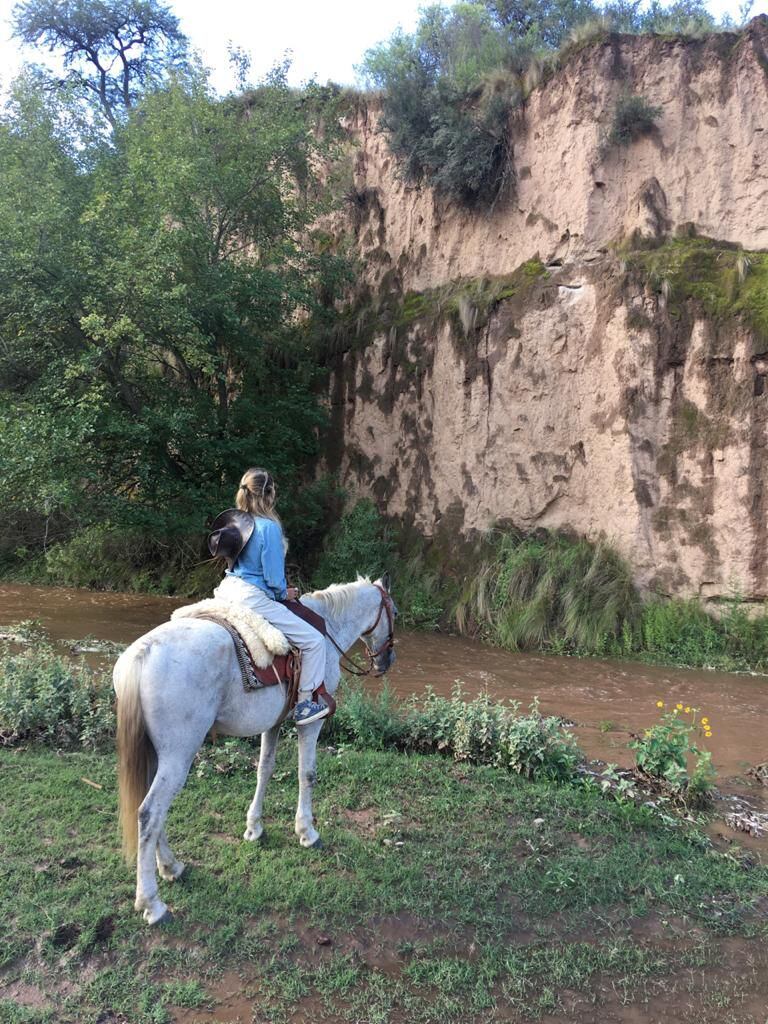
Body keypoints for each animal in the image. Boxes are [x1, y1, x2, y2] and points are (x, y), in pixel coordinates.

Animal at [114, 577, 397, 929]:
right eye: (395, 613)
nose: (387, 661)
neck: (327, 625)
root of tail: (142, 654)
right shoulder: (310, 723)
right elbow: (307, 773)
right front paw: (307, 831)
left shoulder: (272, 722)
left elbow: (265, 769)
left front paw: (254, 827)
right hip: (178, 756)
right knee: (150, 813)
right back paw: (152, 903)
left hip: (157, 754)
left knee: (152, 812)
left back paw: (171, 867)